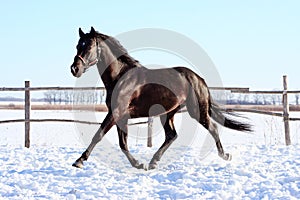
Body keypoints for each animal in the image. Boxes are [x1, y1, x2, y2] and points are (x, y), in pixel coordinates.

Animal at [70, 26, 251, 170]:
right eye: (78, 45)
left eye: (89, 46)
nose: (74, 69)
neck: (121, 77)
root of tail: (198, 79)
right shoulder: (121, 116)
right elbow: (123, 143)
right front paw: (139, 164)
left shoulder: (116, 113)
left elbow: (99, 135)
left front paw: (79, 161)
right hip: (168, 113)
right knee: (171, 135)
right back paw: (153, 162)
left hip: (197, 111)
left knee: (212, 128)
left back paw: (225, 155)